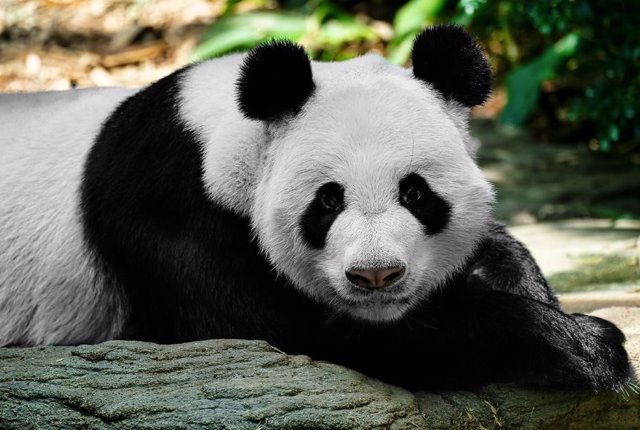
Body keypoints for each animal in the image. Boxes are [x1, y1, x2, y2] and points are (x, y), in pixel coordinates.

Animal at [0, 25, 632, 392]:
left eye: (416, 193)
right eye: (328, 200)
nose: (377, 276)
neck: (225, 136)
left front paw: (530, 290)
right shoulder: (168, 208)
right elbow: (291, 329)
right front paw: (584, 345)